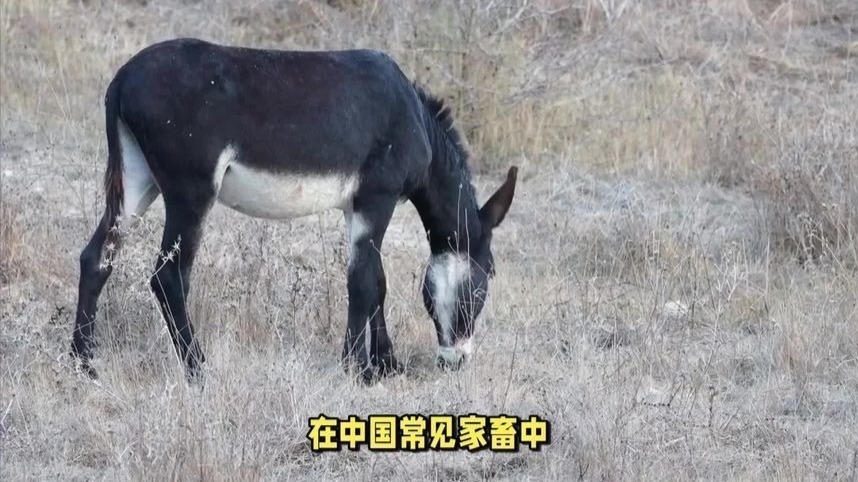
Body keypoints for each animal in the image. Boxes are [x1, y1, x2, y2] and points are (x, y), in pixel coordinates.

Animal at [70, 38, 518, 383]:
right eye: (487, 280)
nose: (456, 362)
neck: (414, 117)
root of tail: (123, 78)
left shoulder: (357, 207)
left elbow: (376, 280)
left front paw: (386, 364)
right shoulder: (378, 198)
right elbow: (363, 283)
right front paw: (358, 370)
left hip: (138, 180)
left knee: (96, 258)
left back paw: (83, 363)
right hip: (189, 193)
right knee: (169, 278)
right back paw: (198, 370)